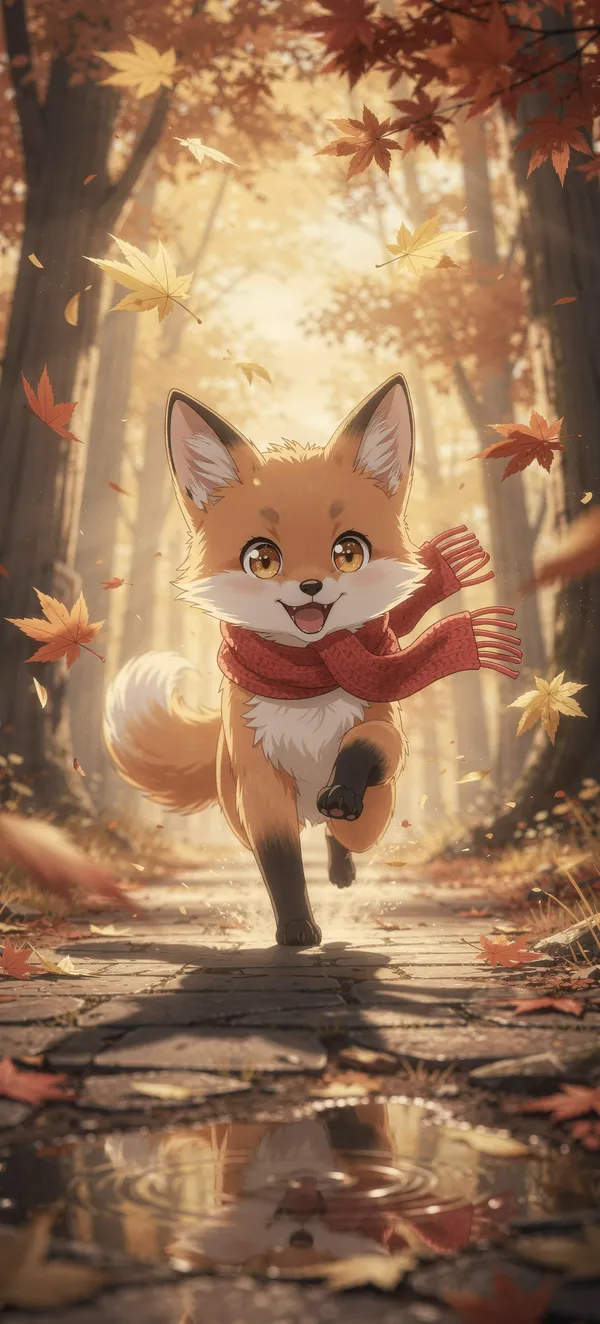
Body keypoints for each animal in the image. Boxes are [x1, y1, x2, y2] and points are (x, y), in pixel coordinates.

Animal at [104, 373, 521, 947]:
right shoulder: (260, 787)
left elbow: (365, 757)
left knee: (344, 834)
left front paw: (343, 799)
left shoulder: (385, 735)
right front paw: (297, 929)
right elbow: (281, 865)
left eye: (349, 552)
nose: (310, 586)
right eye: (262, 559)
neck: (308, 682)